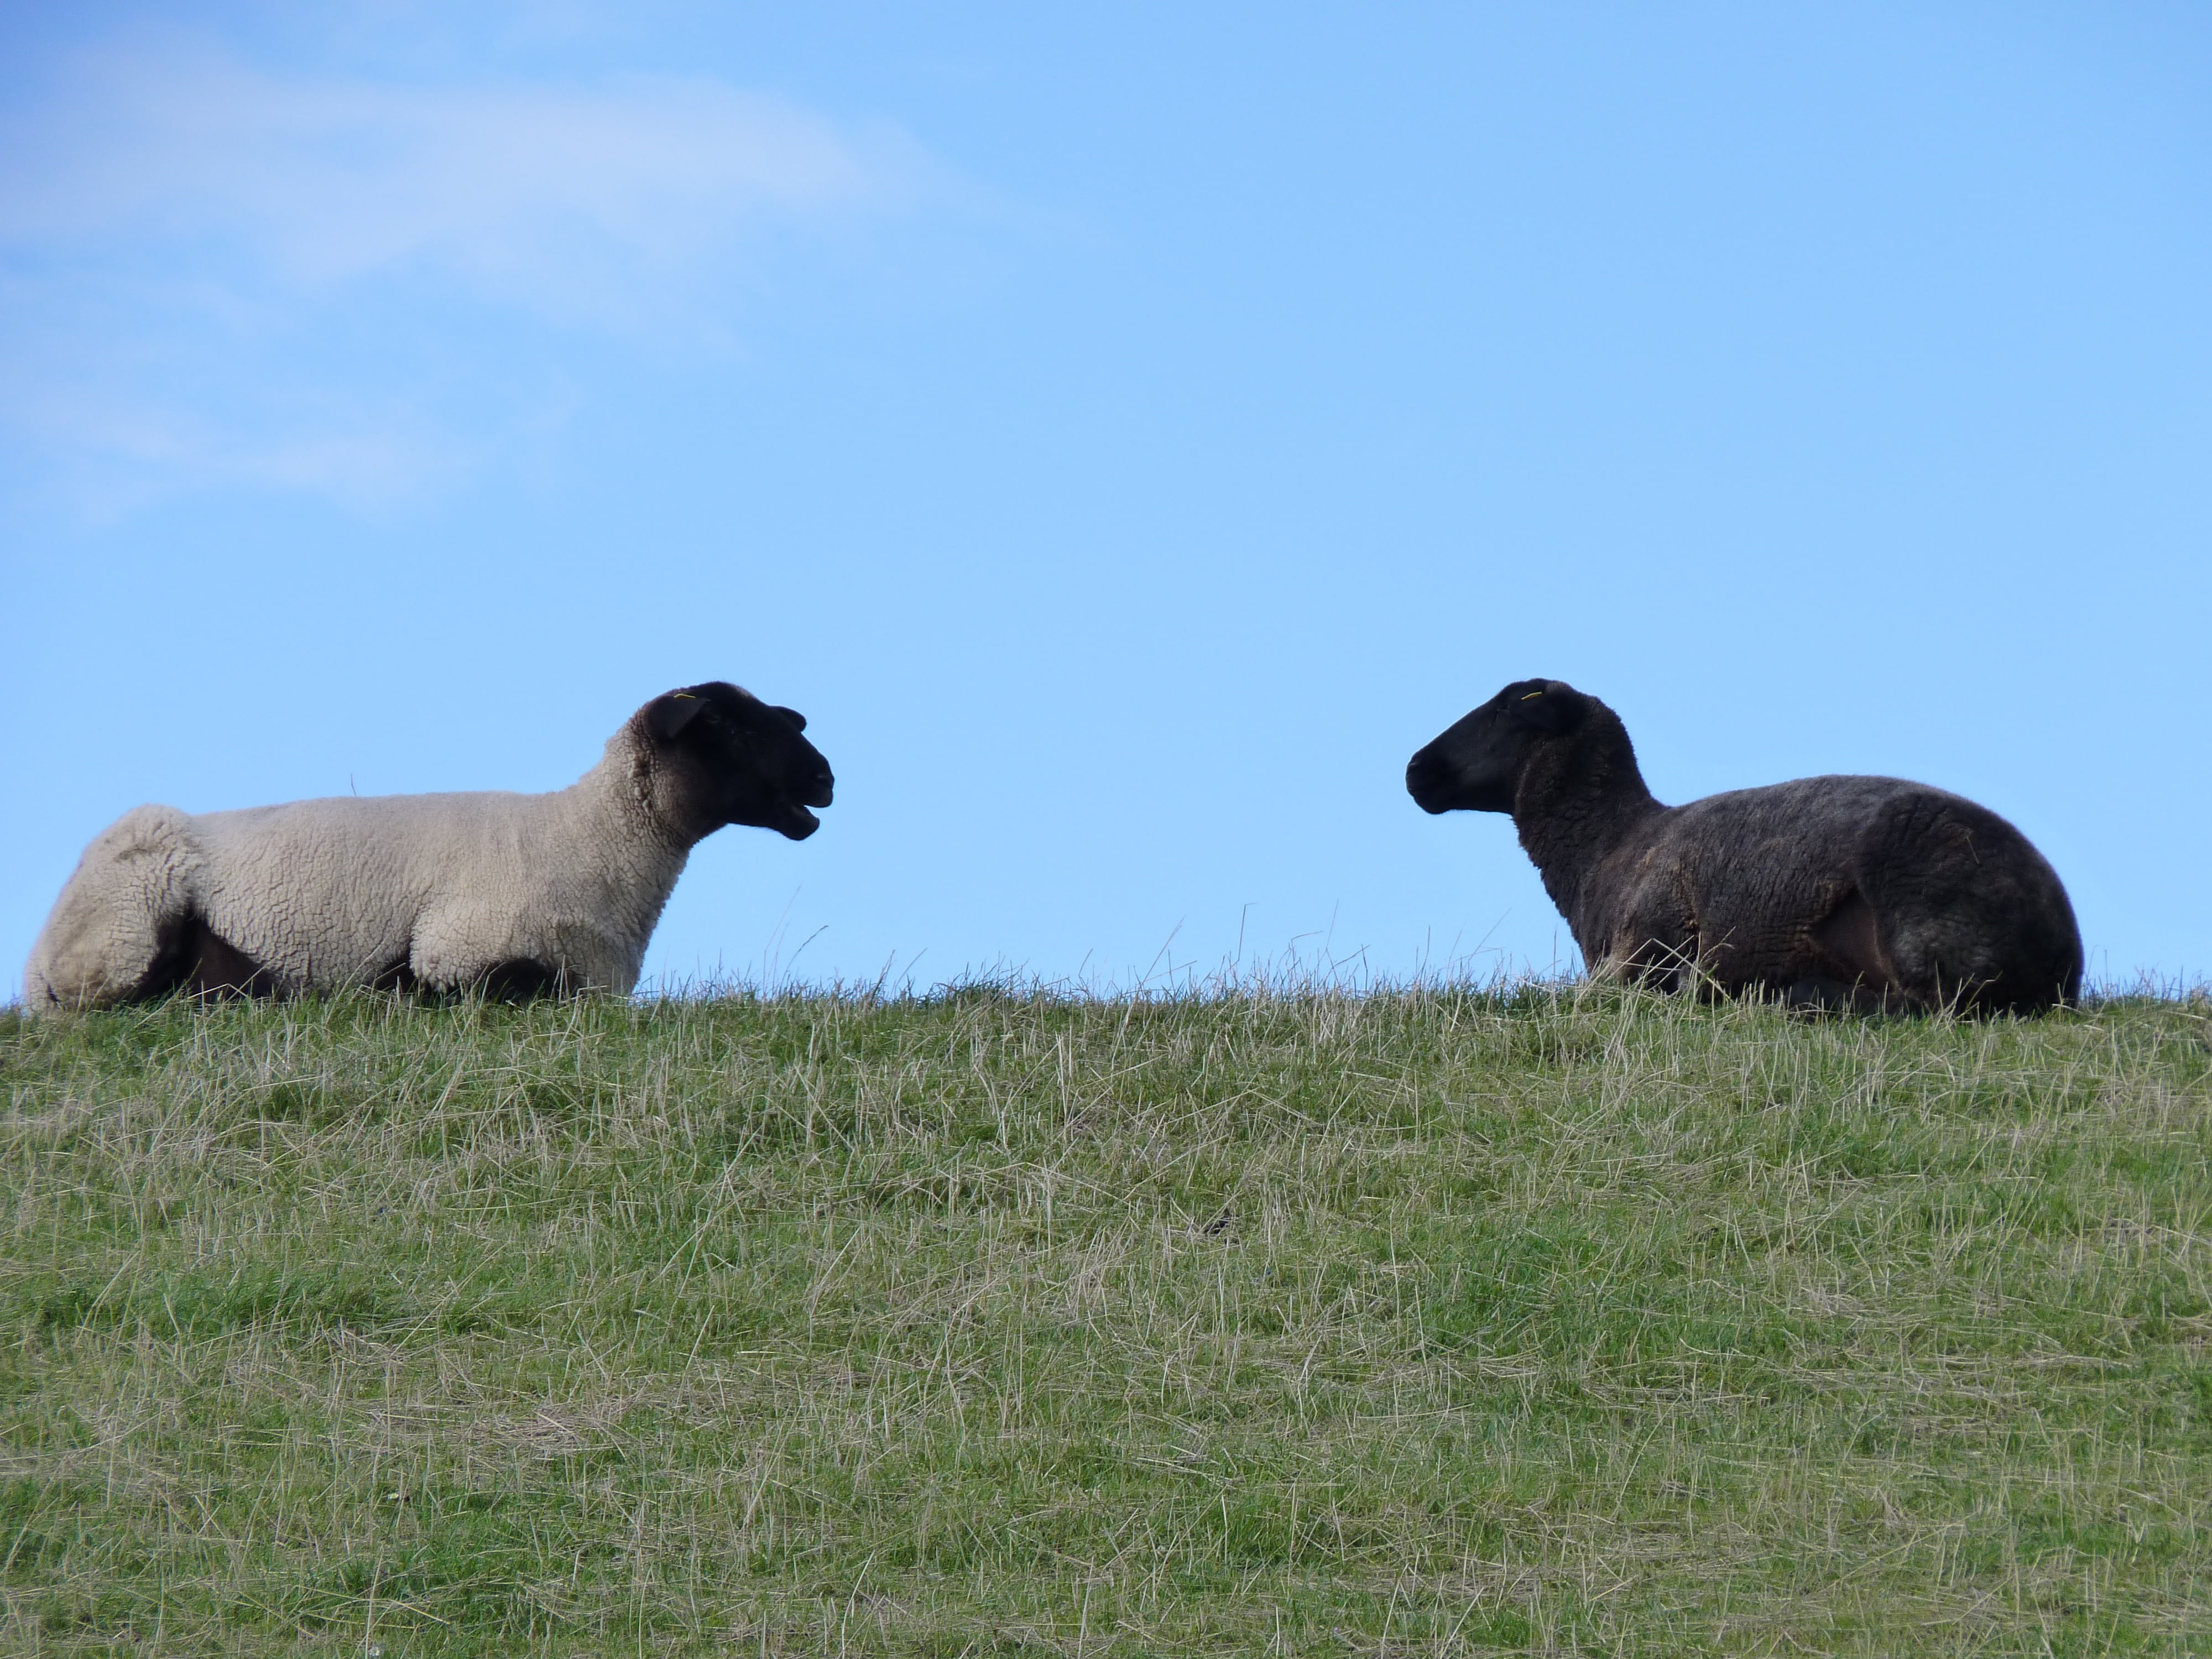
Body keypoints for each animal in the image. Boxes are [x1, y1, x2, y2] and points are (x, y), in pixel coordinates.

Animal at [23, 681, 834, 1010]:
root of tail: (35, 971)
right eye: (728, 729)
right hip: (130, 916)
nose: (826, 778)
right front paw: (391, 996)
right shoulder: (463, 951)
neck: (591, 840)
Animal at [1405, 679, 2082, 1013]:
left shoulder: (1642, 947)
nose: (1415, 769)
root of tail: (2062, 961)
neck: (1608, 848)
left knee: (1928, 1004)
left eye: (1506, 707)